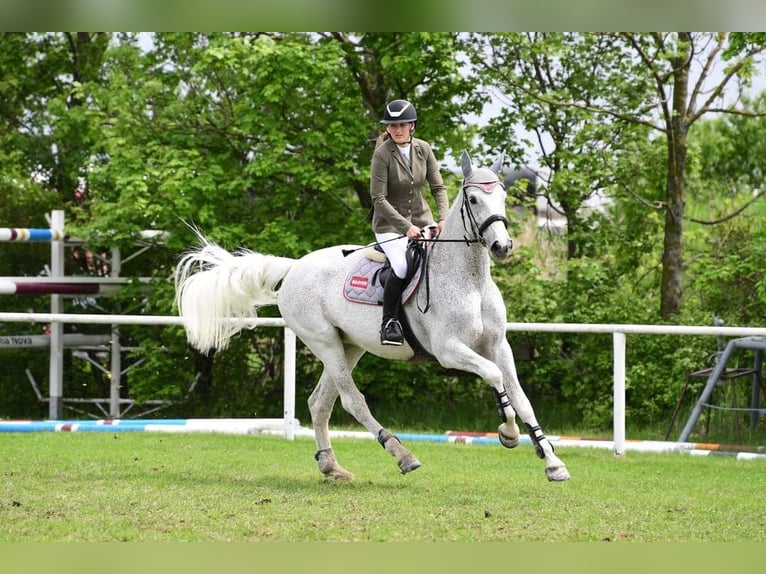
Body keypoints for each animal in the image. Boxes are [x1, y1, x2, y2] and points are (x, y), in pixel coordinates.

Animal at [176, 151, 568, 484]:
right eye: (473, 200)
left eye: (502, 196)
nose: (502, 247)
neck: (470, 280)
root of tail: (295, 267)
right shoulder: (449, 350)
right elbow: (493, 376)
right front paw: (509, 433)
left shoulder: (498, 345)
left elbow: (520, 396)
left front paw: (552, 461)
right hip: (324, 342)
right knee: (352, 400)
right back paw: (401, 454)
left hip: (349, 346)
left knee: (320, 403)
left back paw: (332, 466)